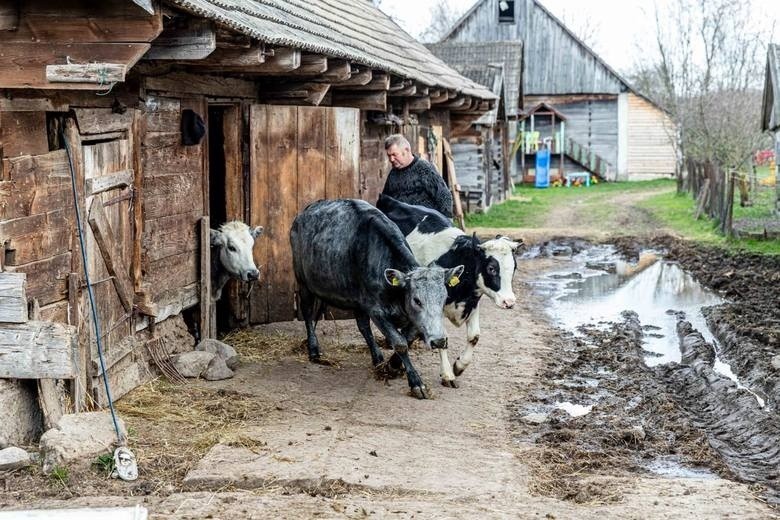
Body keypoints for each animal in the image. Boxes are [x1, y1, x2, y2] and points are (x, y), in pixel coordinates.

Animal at [290, 198, 464, 398]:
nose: (439, 341)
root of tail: (306, 211)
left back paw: (377, 357)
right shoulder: (377, 310)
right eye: (417, 300)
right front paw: (416, 383)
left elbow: (408, 338)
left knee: (359, 325)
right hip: (303, 282)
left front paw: (392, 366)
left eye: (444, 299)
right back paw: (313, 349)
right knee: (308, 312)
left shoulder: (409, 317)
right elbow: (400, 343)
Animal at [374, 195, 520, 386]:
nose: (509, 302)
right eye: (491, 268)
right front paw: (447, 374)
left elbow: (474, 336)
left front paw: (459, 365)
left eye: (514, 267)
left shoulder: (472, 302)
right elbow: (441, 339)